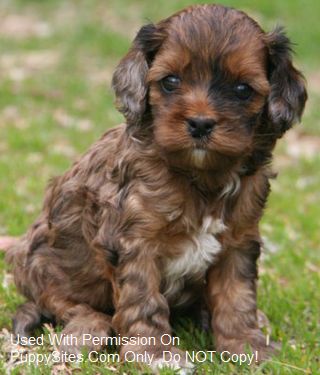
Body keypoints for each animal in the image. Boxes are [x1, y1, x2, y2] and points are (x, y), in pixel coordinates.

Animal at [6, 4, 304, 374]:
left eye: (242, 89)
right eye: (171, 81)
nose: (200, 124)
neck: (199, 177)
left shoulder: (238, 242)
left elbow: (237, 298)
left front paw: (247, 346)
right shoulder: (134, 243)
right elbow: (143, 300)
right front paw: (154, 354)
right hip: (36, 261)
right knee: (65, 304)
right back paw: (87, 329)